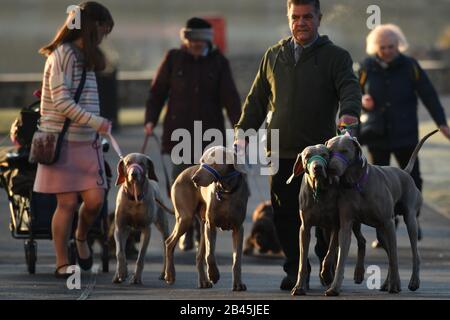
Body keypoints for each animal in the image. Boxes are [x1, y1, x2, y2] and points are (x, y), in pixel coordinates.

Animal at [111, 153, 170, 284]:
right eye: (127, 163)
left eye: (142, 163)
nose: (134, 174)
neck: (134, 198)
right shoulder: (120, 228)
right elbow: (119, 253)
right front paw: (121, 273)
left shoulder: (146, 230)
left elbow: (141, 256)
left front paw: (136, 277)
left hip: (163, 225)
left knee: (166, 247)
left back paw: (164, 273)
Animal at [164, 146, 250, 292]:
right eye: (202, 161)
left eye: (214, 162)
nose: (194, 179)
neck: (226, 191)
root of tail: (182, 174)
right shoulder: (211, 225)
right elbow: (210, 255)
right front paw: (214, 275)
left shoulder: (238, 228)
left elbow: (237, 259)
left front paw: (238, 284)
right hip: (186, 218)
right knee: (169, 243)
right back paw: (170, 275)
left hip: (201, 225)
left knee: (198, 256)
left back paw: (203, 281)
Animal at [286, 144, 368, 296]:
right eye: (307, 156)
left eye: (324, 154)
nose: (317, 167)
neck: (319, 190)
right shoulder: (305, 228)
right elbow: (302, 261)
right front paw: (299, 286)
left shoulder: (336, 225)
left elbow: (329, 254)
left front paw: (326, 274)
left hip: (351, 221)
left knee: (360, 241)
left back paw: (356, 274)